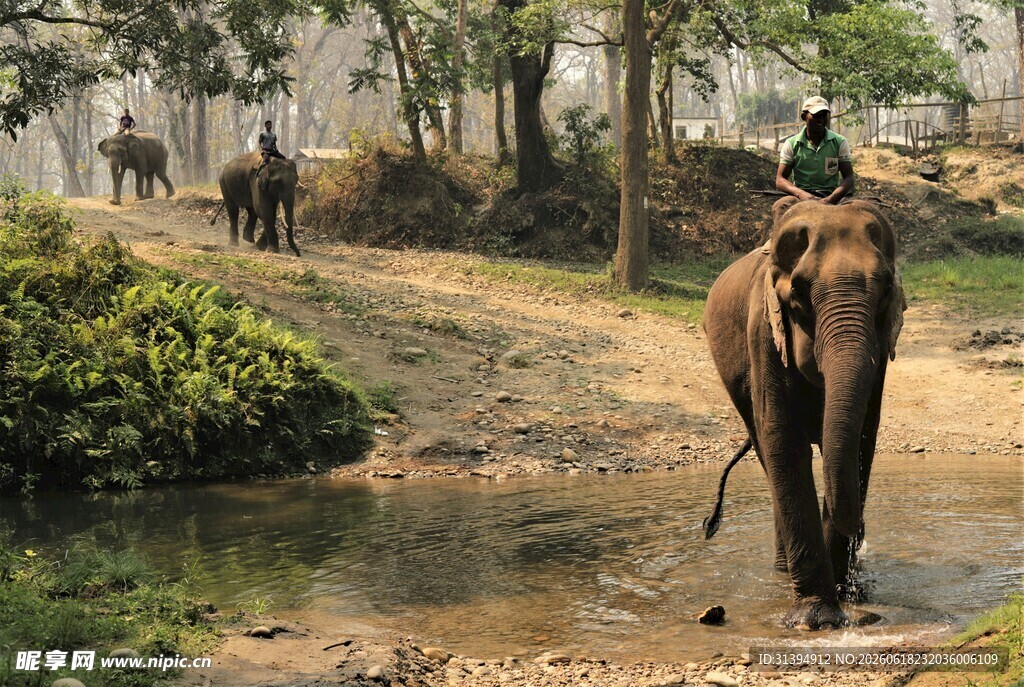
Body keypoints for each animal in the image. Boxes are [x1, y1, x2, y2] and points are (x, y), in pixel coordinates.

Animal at [701, 197, 906, 630]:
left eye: (885, 290)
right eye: (798, 292)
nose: (861, 532)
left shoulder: (880, 358)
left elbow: (860, 443)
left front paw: (845, 596)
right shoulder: (763, 333)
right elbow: (784, 443)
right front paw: (817, 620)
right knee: (766, 451)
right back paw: (783, 571)